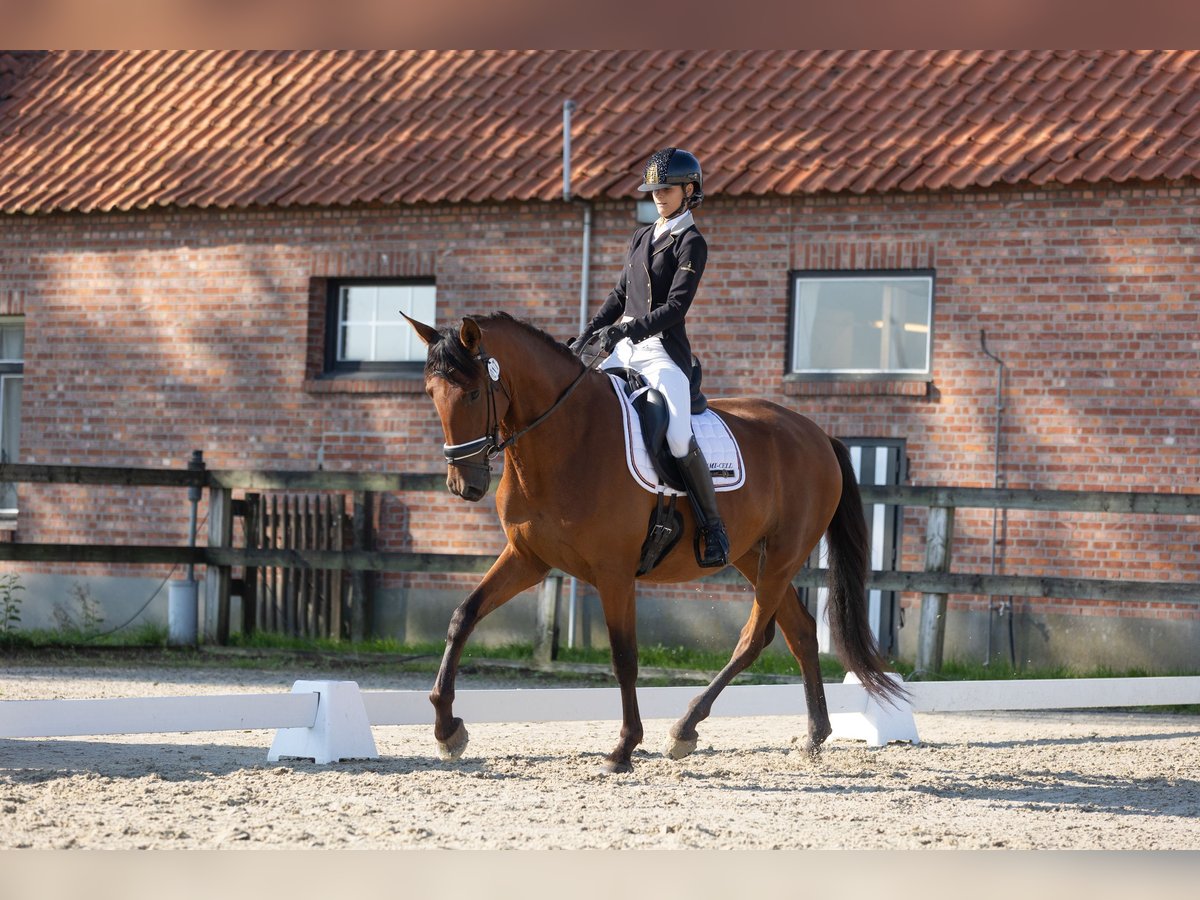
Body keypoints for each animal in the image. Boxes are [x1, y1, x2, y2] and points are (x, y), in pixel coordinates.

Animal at [400, 312, 902, 777]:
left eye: (471, 393)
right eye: (430, 393)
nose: (464, 485)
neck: (565, 438)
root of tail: (817, 434)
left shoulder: (614, 573)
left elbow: (624, 657)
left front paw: (623, 749)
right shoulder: (528, 559)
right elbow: (462, 617)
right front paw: (447, 730)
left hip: (781, 557)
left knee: (754, 638)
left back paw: (685, 728)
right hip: (750, 555)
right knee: (799, 632)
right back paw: (813, 735)